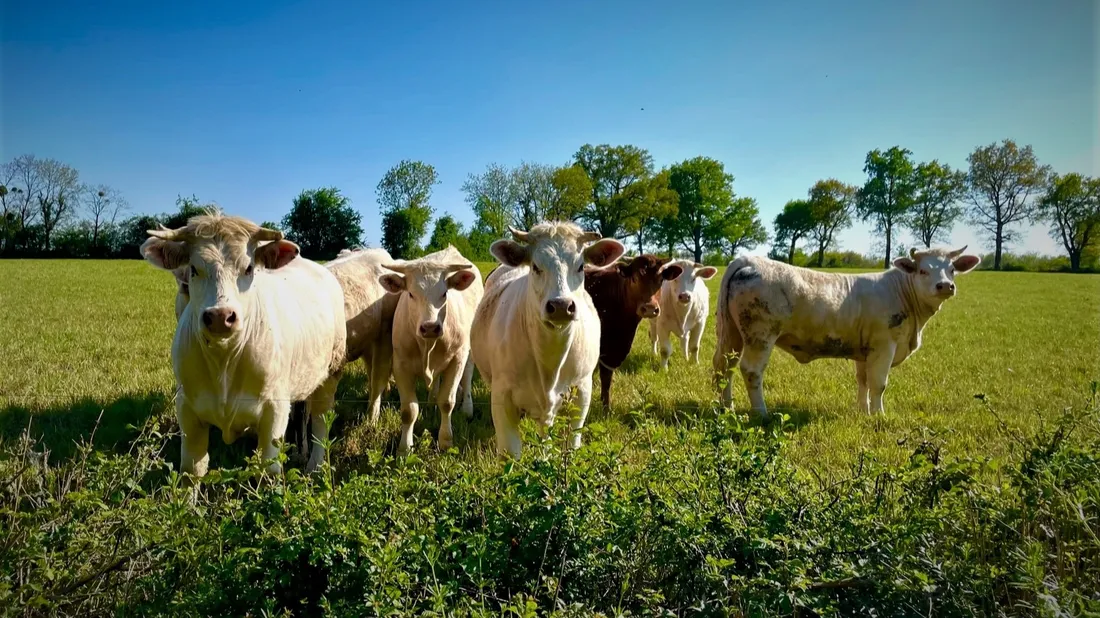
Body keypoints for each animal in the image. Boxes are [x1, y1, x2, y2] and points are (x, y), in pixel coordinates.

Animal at [140, 213, 347, 477]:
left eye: (248, 268)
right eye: (194, 269)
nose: (220, 316)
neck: (224, 359)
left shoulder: (274, 411)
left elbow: (269, 468)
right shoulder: (187, 410)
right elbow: (192, 469)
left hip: (331, 372)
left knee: (321, 421)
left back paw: (316, 466)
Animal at [379, 246, 483, 453]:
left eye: (444, 294)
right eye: (411, 294)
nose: (430, 327)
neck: (427, 346)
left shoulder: (457, 360)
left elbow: (447, 402)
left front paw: (445, 440)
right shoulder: (400, 365)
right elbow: (409, 410)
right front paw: (404, 447)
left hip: (469, 352)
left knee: (467, 376)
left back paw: (467, 409)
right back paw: (431, 400)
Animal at [470, 222, 625, 457]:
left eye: (581, 266)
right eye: (536, 266)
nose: (561, 305)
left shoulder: (583, 389)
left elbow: (570, 443)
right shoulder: (501, 396)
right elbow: (511, 453)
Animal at [712, 246, 981, 418]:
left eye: (952, 270)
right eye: (923, 271)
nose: (945, 286)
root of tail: (748, 260)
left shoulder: (865, 350)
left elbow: (863, 381)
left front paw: (863, 411)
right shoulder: (884, 346)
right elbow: (879, 384)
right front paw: (879, 416)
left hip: (731, 333)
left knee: (724, 366)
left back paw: (726, 408)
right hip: (760, 335)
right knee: (751, 370)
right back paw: (762, 414)